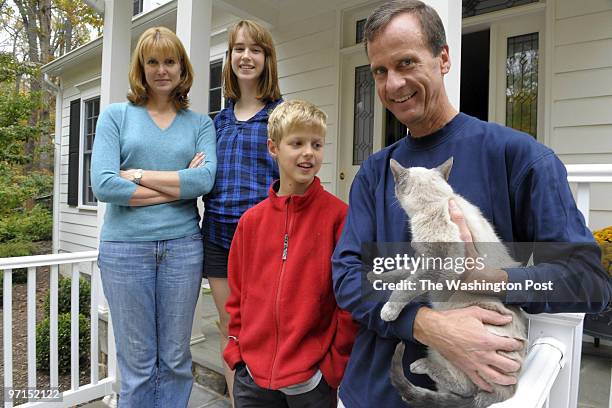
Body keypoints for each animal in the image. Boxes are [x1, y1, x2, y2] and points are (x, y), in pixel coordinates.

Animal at [378, 158, 524, 408]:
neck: (437, 201)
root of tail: (510, 390)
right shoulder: (421, 259)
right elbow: (402, 274)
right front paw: (377, 276)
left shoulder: (437, 263)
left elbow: (406, 287)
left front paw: (388, 311)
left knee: (465, 386)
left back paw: (420, 365)